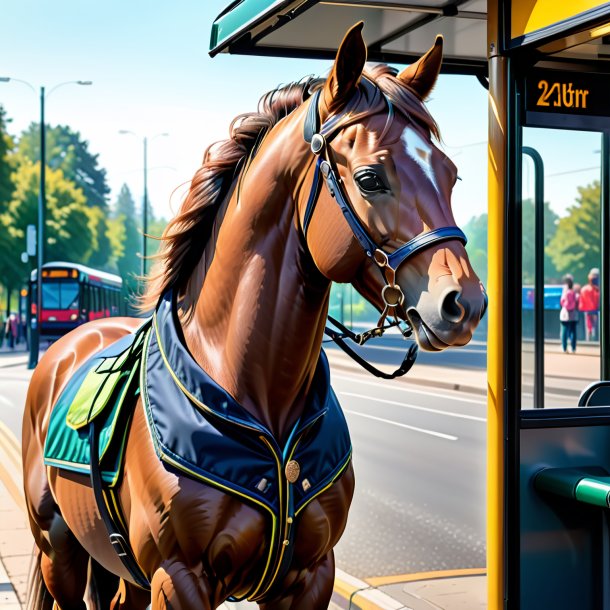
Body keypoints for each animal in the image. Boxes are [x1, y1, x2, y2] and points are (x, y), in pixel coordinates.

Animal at [21, 22, 482, 608]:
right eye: (371, 177)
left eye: (450, 174)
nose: (464, 302)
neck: (256, 398)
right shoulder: (179, 577)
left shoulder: (310, 574)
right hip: (58, 548)